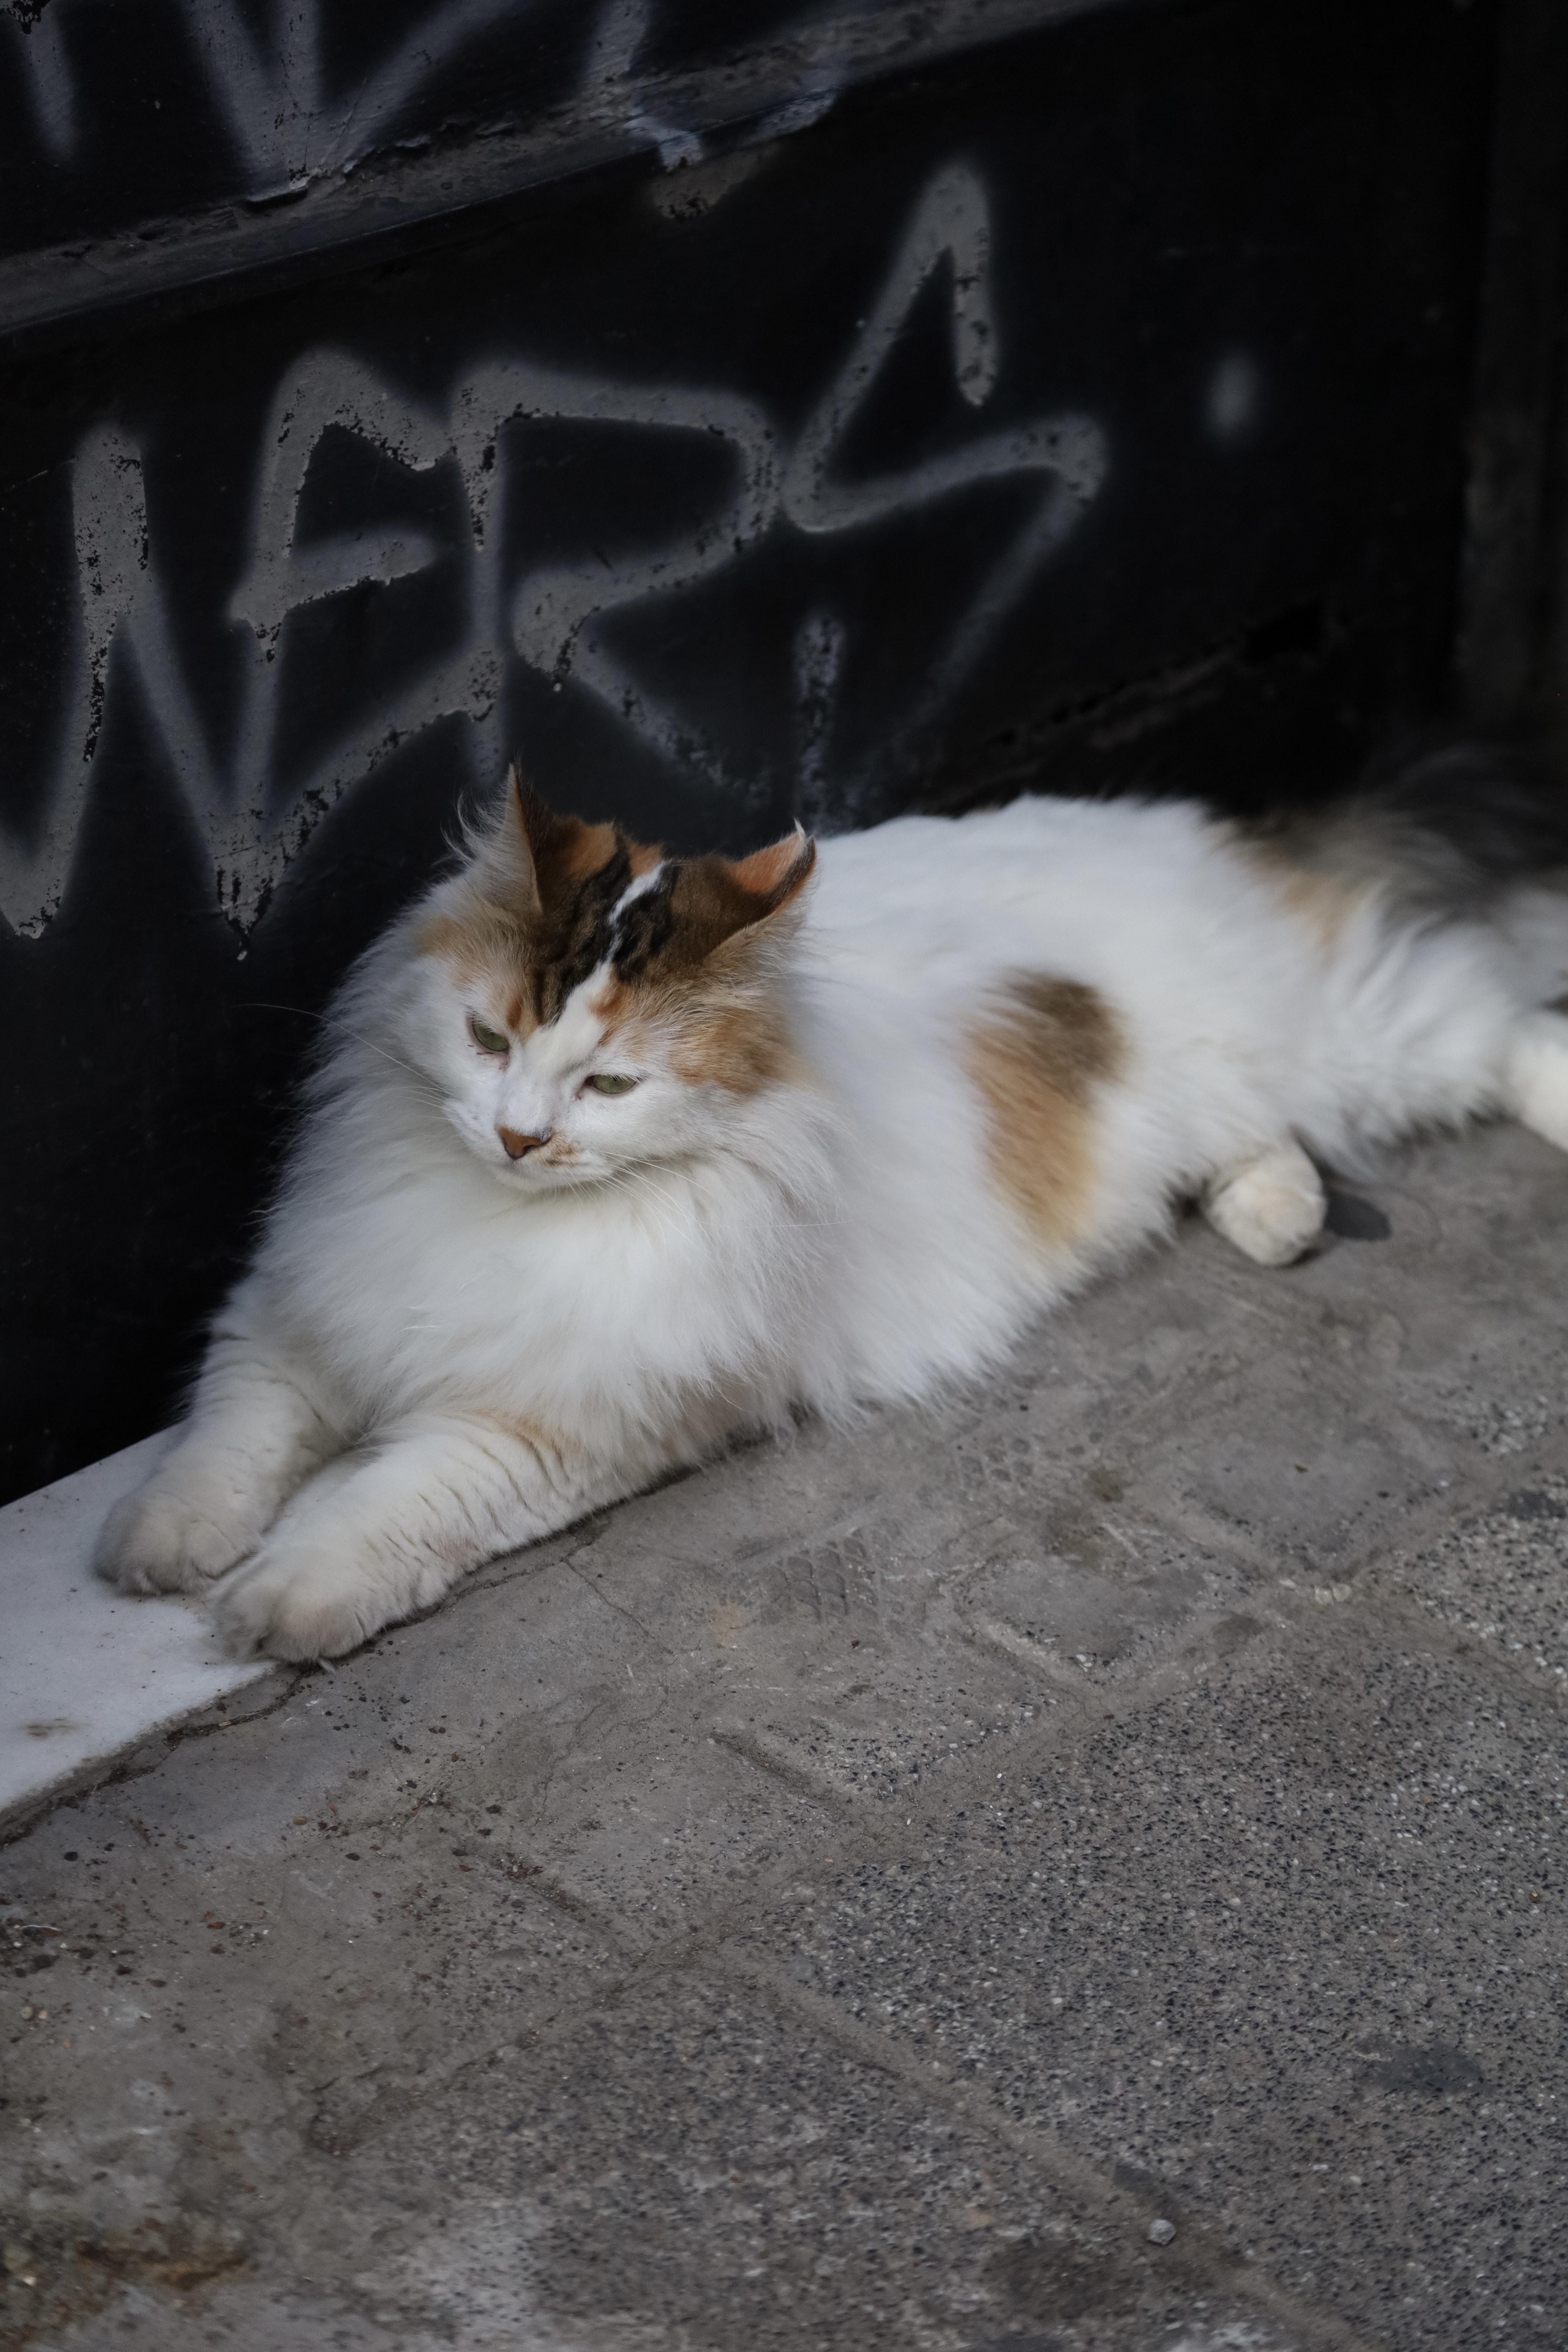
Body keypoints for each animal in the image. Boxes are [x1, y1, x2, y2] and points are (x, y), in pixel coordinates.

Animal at [95, 752, 1568, 1655]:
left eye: (610, 1083)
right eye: (486, 1040)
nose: (518, 1137)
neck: (507, 1219)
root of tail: (1205, 830)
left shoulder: (551, 1430)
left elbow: (375, 1512)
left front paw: (275, 1603)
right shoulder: (294, 1316)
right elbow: (226, 1441)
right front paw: (159, 1552)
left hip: (1359, 1042)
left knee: (1497, 1018)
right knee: (1266, 1142)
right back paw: (1278, 1218)